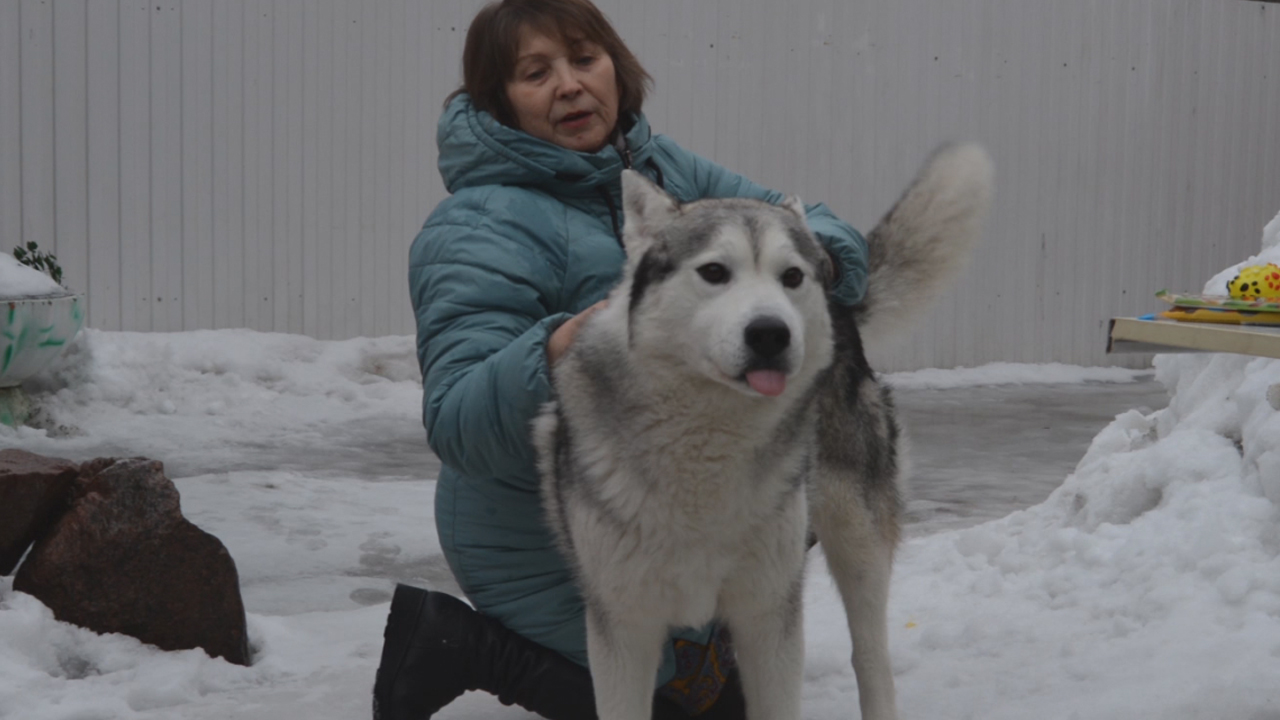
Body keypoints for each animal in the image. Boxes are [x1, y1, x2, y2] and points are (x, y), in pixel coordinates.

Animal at [535, 141, 993, 717]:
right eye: (714, 271)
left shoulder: (768, 615)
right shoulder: (624, 628)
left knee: (871, 658)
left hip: (857, 541)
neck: (705, 444)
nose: (772, 333)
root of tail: (843, 307)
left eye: (791, 277)